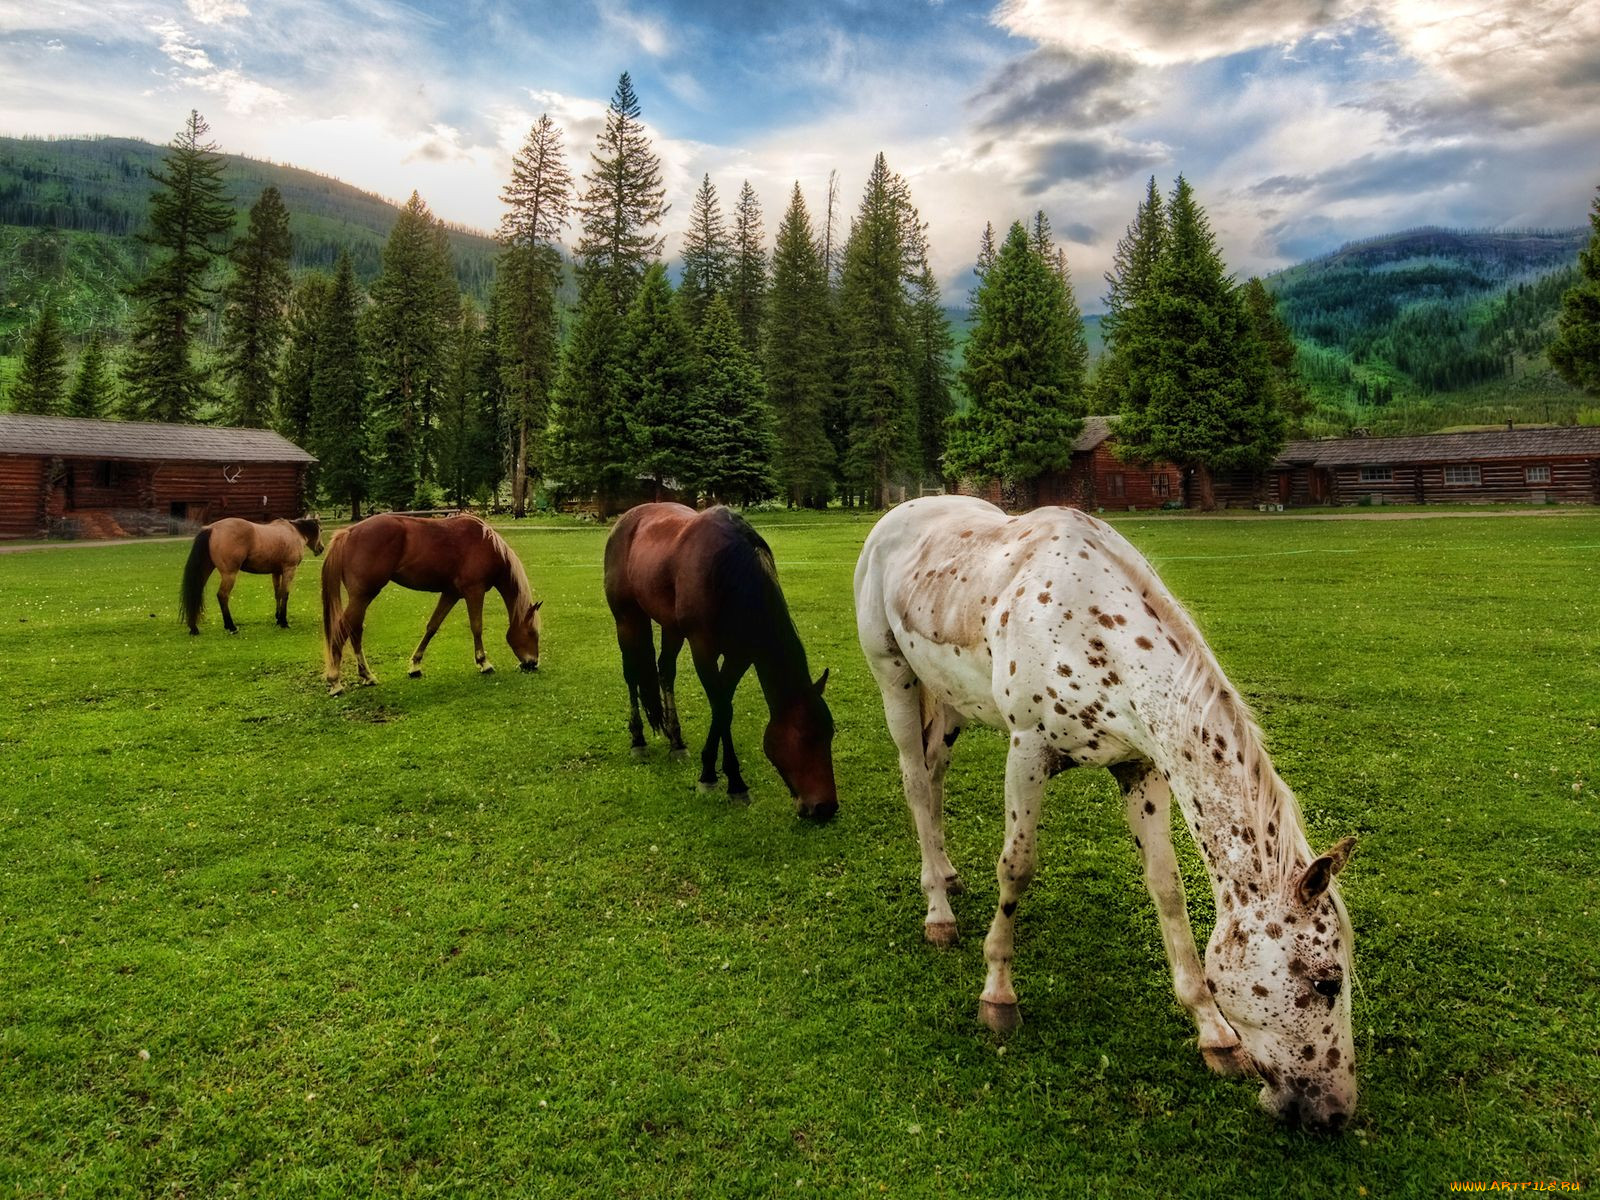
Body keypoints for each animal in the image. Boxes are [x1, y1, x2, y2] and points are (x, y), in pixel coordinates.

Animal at [180, 518, 321, 640]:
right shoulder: (289, 570)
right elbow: (285, 595)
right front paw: (284, 622)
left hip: (206, 570)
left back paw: (194, 627)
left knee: (196, 592)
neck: (293, 532)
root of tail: (211, 528)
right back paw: (231, 627)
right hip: (229, 575)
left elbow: (278, 594)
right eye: (321, 530)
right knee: (222, 596)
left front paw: (277, 618)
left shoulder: (276, 572)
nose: (321, 548)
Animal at [318, 515, 544, 700]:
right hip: (362, 596)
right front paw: (484, 662)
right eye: (532, 633)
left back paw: (367, 675)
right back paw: (335, 681)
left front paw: (415, 665)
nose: (533, 663)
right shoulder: (474, 591)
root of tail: (348, 532)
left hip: (362, 598)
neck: (487, 546)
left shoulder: (451, 593)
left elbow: (433, 626)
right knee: (342, 629)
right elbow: (476, 626)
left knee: (355, 630)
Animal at [601, 502, 838, 825]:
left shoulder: (740, 655)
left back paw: (676, 742)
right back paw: (637, 740)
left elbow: (722, 706)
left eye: (830, 734)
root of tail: (626, 519)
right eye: (804, 737)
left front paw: (714, 773)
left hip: (671, 628)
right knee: (631, 674)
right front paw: (730, 782)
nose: (826, 807)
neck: (729, 574)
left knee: (665, 671)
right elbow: (723, 709)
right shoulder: (703, 650)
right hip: (626, 618)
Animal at [857, 499, 1356, 1139]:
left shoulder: (1141, 769)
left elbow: (1167, 889)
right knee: (917, 784)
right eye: (1326, 981)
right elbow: (1016, 868)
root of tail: (900, 512)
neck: (1092, 627)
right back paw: (938, 913)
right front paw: (998, 995)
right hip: (894, 676)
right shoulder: (1027, 750)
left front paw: (1213, 1032)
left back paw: (946, 876)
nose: (1336, 1112)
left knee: (935, 773)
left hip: (949, 700)